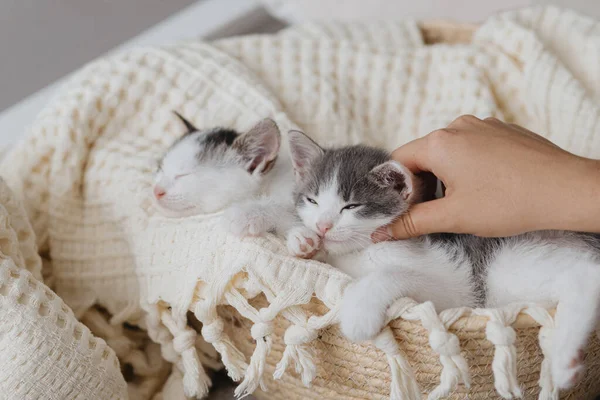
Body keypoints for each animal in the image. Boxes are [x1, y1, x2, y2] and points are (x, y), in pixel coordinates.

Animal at [284, 130, 600, 390]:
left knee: (586, 275)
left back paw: (564, 359)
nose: (323, 226)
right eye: (312, 200)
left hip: (504, 264)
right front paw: (303, 240)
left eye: (351, 206)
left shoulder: (456, 285)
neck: (363, 250)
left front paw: (359, 312)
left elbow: (393, 274)